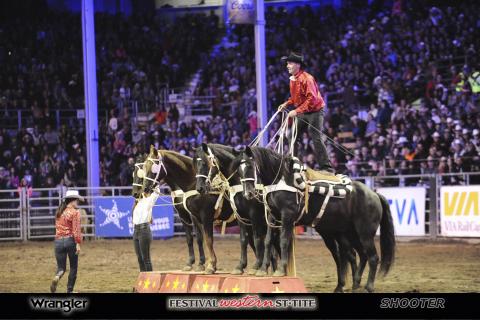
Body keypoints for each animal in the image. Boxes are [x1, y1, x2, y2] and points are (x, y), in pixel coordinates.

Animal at [142, 146, 255, 274]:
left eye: (154, 165)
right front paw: (197, 264)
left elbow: (208, 240)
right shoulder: (190, 217)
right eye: (144, 166)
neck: (192, 183)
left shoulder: (206, 216)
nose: (145, 189)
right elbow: (195, 239)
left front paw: (210, 265)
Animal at [193, 143, 280, 276]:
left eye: (205, 163)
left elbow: (257, 240)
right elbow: (243, 240)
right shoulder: (240, 217)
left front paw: (256, 266)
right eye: (195, 164)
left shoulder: (254, 215)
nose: (200, 188)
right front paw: (240, 266)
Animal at [236, 147, 394, 292]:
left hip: (364, 233)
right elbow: (268, 241)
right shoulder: (273, 217)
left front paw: (280, 271)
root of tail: (374, 194)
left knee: (373, 257)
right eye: (239, 169)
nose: (247, 193)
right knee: (360, 255)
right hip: (349, 233)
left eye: (250, 166)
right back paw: (354, 285)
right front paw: (262, 270)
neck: (283, 179)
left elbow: (283, 241)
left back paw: (368, 287)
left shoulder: (287, 216)